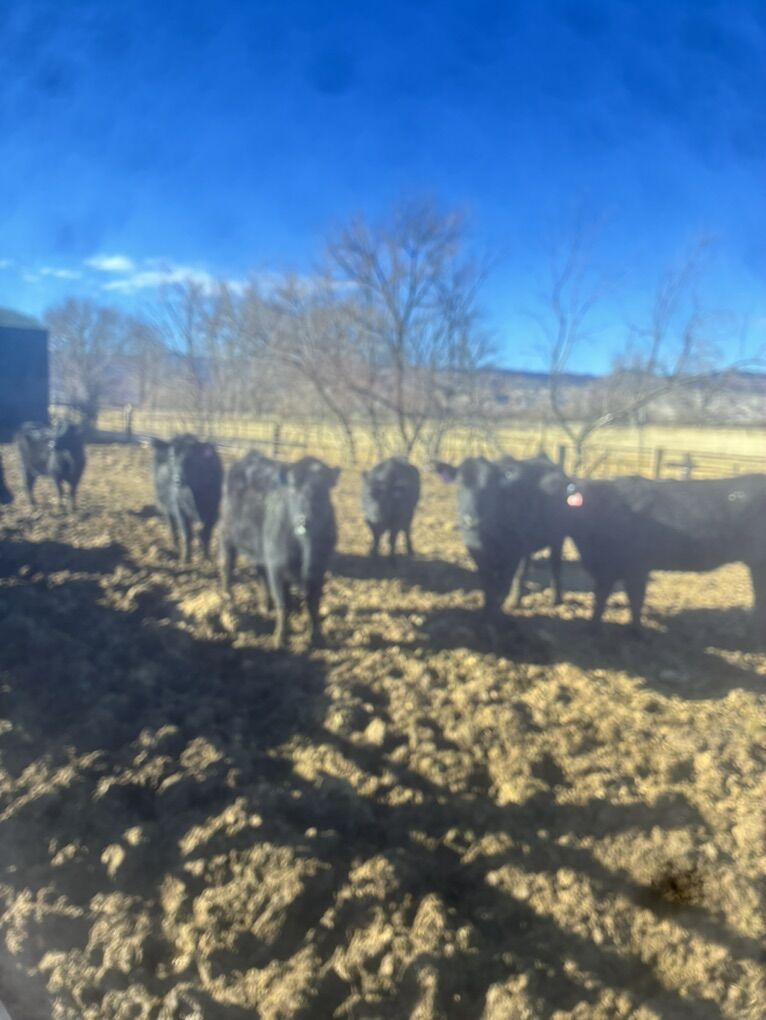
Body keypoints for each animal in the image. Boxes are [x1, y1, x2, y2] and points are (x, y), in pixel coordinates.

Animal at [220, 452, 340, 648]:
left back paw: (264, 606)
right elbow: (282, 602)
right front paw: (280, 639)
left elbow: (313, 603)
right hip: (226, 535)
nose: (303, 521)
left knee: (261, 573)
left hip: (260, 549)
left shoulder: (319, 568)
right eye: (292, 489)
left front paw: (316, 636)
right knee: (226, 568)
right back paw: (229, 607)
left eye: (323, 489)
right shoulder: (277, 565)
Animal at [543, 472, 766, 637]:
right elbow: (601, 597)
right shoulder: (607, 568)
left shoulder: (636, 568)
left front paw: (636, 632)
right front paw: (592, 627)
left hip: (758, 562)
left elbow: (635, 598)